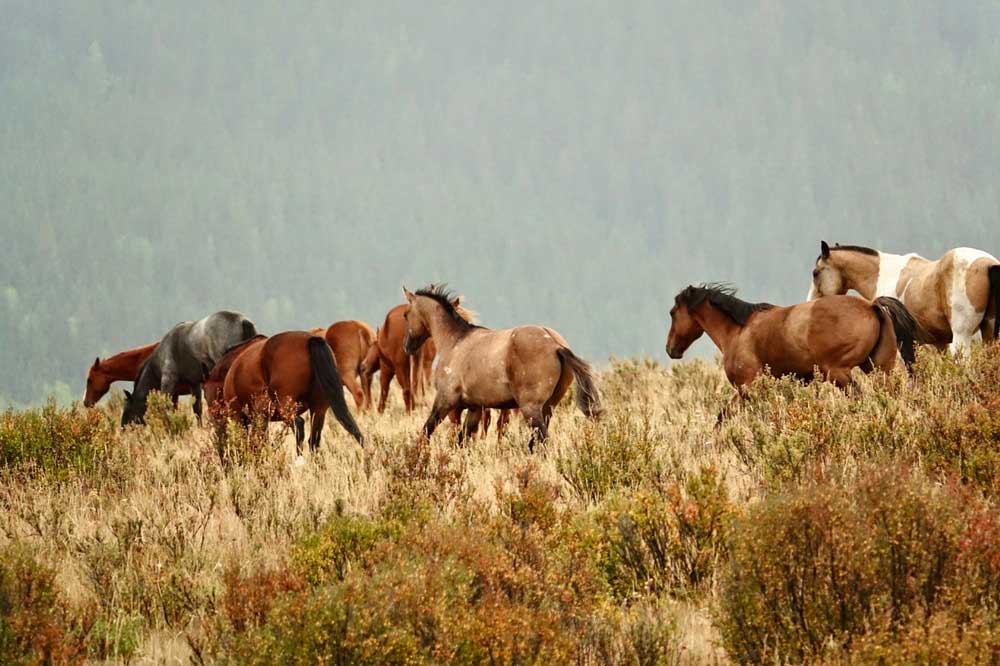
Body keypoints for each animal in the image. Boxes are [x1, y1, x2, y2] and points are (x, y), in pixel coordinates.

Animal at [122, 310, 258, 426]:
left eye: (128, 408)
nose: (124, 427)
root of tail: (243, 321)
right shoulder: (194, 383)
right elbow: (197, 408)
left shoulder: (168, 380)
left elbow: (166, 405)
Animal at [219, 330, 364, 452]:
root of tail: (310, 339)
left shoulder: (241, 416)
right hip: (318, 409)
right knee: (313, 441)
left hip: (286, 407)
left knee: (299, 427)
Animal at [400, 282, 600, 448]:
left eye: (406, 314)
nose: (407, 347)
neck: (455, 342)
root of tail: (556, 345)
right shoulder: (475, 408)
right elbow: (462, 440)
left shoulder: (445, 400)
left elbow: (427, 430)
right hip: (548, 407)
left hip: (531, 408)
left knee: (542, 439)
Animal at [664, 282, 928, 396]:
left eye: (672, 313)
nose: (670, 349)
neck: (738, 331)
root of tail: (871, 305)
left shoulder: (747, 387)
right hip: (879, 368)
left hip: (838, 372)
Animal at [804, 240, 1000, 352]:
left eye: (815, 272)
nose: (809, 305)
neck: (885, 274)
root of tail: (989, 264)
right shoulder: (938, 343)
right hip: (989, 334)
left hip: (962, 336)